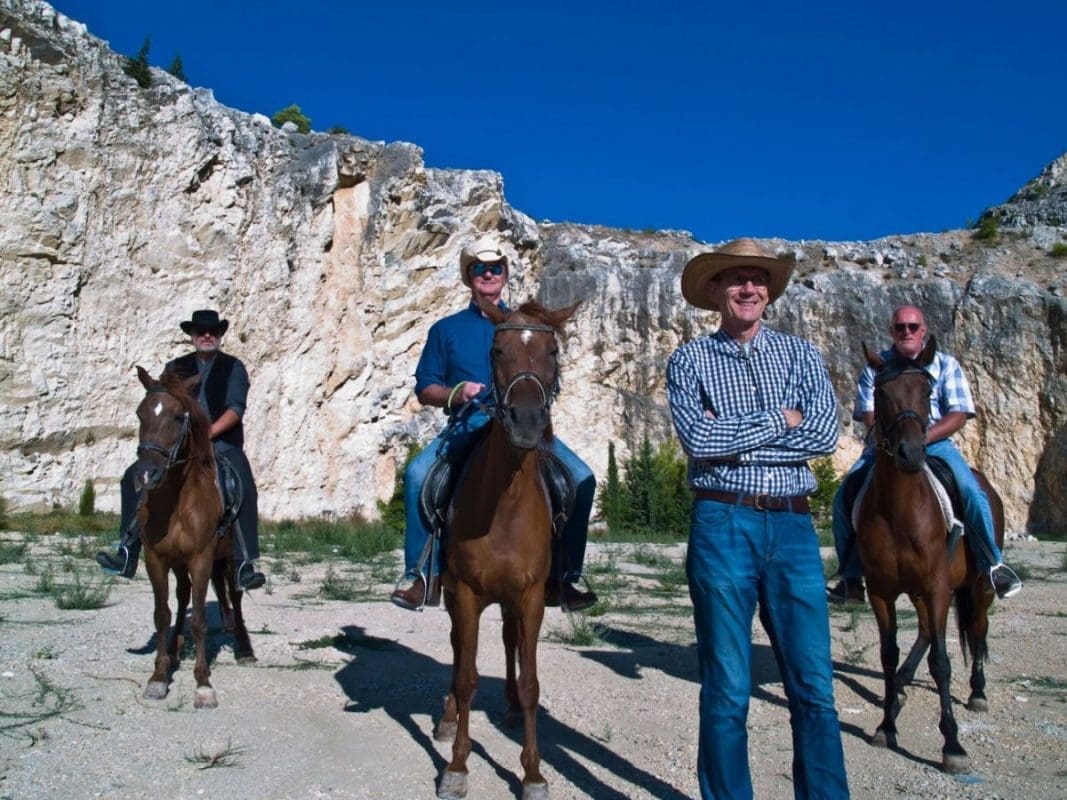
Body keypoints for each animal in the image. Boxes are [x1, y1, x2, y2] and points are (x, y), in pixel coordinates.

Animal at [131, 366, 255, 708]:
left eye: (177, 417)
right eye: (140, 413)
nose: (146, 475)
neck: (177, 502)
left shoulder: (201, 558)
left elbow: (199, 619)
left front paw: (203, 684)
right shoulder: (157, 559)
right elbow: (162, 614)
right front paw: (159, 676)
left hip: (227, 559)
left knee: (234, 596)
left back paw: (244, 648)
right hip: (180, 563)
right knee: (183, 595)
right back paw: (174, 649)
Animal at [432, 300, 579, 800]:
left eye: (553, 351)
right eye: (497, 350)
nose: (527, 422)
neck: (506, 505)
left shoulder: (531, 597)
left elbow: (532, 682)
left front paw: (533, 774)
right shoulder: (466, 593)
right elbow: (466, 676)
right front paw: (457, 766)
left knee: (511, 642)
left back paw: (512, 707)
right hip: (454, 595)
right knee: (459, 648)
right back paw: (446, 717)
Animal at [855, 336, 1000, 774]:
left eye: (927, 391)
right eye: (879, 393)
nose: (910, 453)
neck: (899, 512)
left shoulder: (937, 586)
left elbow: (942, 663)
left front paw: (952, 745)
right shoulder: (882, 591)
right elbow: (887, 655)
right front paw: (886, 725)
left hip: (977, 586)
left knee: (978, 627)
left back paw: (977, 693)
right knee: (922, 630)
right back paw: (902, 688)